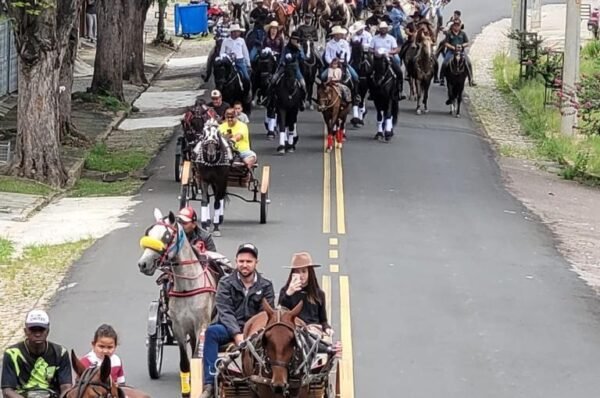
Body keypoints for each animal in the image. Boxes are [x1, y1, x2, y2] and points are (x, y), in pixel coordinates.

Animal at [138, 210, 218, 396]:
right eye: (148, 233)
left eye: (166, 236)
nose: (143, 264)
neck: (187, 288)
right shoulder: (178, 327)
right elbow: (185, 362)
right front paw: (186, 389)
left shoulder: (201, 325)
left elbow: (197, 357)